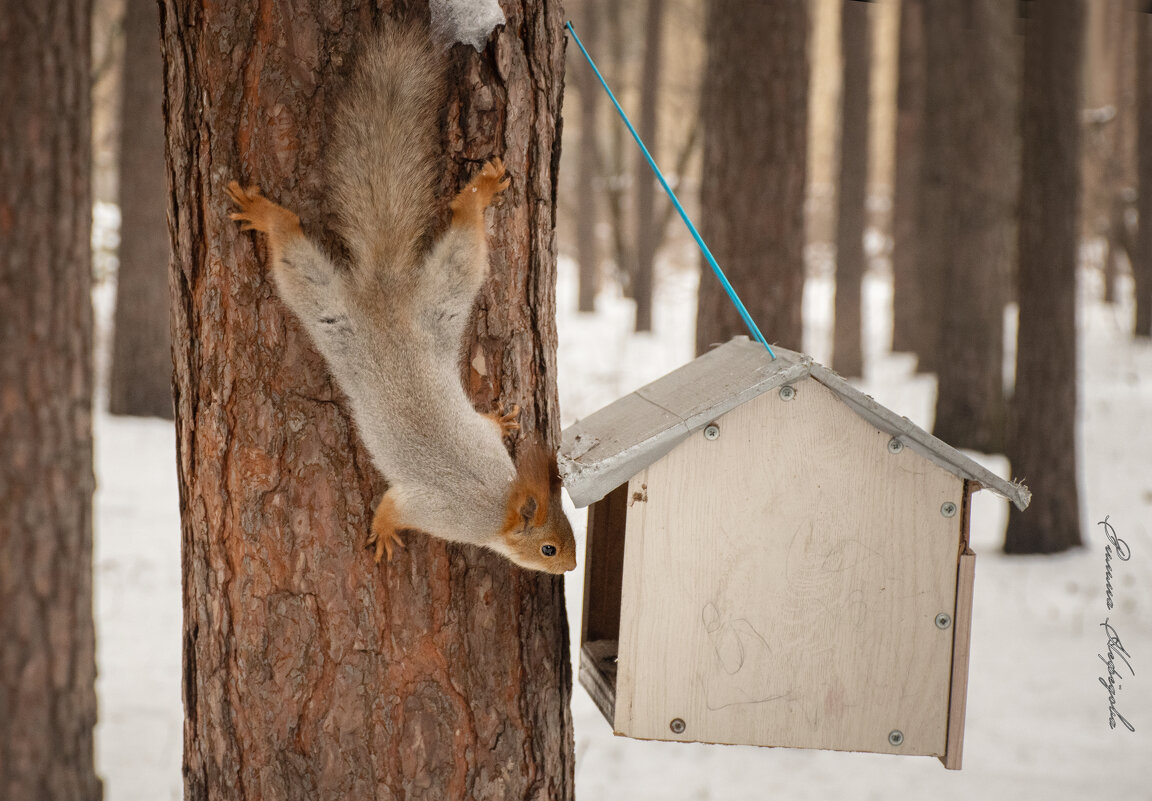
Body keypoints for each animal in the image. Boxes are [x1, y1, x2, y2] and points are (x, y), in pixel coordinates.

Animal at [223, 23, 576, 576]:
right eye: (548, 548)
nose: (572, 566)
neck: (499, 500)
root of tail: (384, 293)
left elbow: (485, 428)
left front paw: (498, 419)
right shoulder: (437, 510)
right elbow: (394, 505)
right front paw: (386, 532)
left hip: (445, 296)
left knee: (463, 240)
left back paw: (478, 193)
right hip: (327, 306)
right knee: (293, 250)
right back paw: (267, 216)